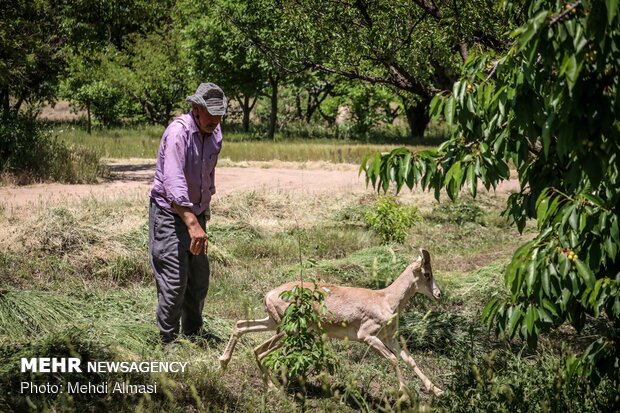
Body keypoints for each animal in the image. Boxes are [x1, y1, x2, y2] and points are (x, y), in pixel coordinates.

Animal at [220, 248, 444, 396]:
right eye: (426, 273)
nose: (439, 294)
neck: (385, 300)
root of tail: (269, 295)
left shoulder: (390, 338)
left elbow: (409, 359)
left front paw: (438, 391)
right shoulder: (367, 336)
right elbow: (392, 359)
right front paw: (405, 394)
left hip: (273, 323)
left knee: (241, 326)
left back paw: (223, 363)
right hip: (288, 331)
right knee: (259, 350)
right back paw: (273, 388)